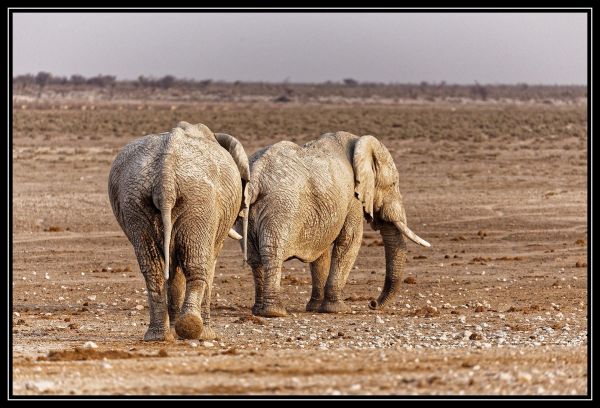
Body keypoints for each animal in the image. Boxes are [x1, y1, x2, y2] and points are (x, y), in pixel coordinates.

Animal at [107, 121, 248, 342]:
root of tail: (165, 176)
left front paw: (175, 330)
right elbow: (210, 261)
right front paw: (206, 334)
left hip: (135, 199)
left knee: (153, 268)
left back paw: (159, 336)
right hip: (199, 200)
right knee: (197, 264)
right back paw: (195, 329)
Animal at [237, 132, 428, 318]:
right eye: (393, 184)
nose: (372, 304)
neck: (359, 142)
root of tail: (256, 176)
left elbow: (320, 250)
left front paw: (315, 308)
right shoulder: (353, 199)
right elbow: (350, 241)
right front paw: (338, 309)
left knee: (255, 258)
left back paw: (259, 310)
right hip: (281, 207)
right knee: (273, 252)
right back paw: (275, 312)